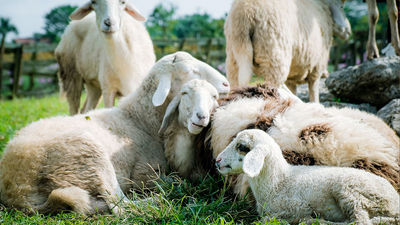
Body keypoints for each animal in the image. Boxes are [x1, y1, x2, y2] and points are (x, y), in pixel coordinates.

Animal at [0, 51, 231, 215]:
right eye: (192, 71)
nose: (226, 83)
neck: (139, 118)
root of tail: (16, 191)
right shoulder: (143, 173)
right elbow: (175, 181)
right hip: (88, 155)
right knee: (120, 205)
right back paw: (158, 202)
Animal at [216, 128, 400, 225]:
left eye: (242, 147)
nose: (217, 161)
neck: (278, 181)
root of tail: (395, 203)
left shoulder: (296, 206)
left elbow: (269, 220)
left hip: (352, 192)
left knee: (359, 221)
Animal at [223, 0, 352, 101]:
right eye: (341, 6)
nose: (348, 31)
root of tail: (245, 13)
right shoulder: (317, 65)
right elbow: (314, 93)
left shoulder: (292, 76)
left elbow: (294, 91)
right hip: (273, 56)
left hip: (235, 57)